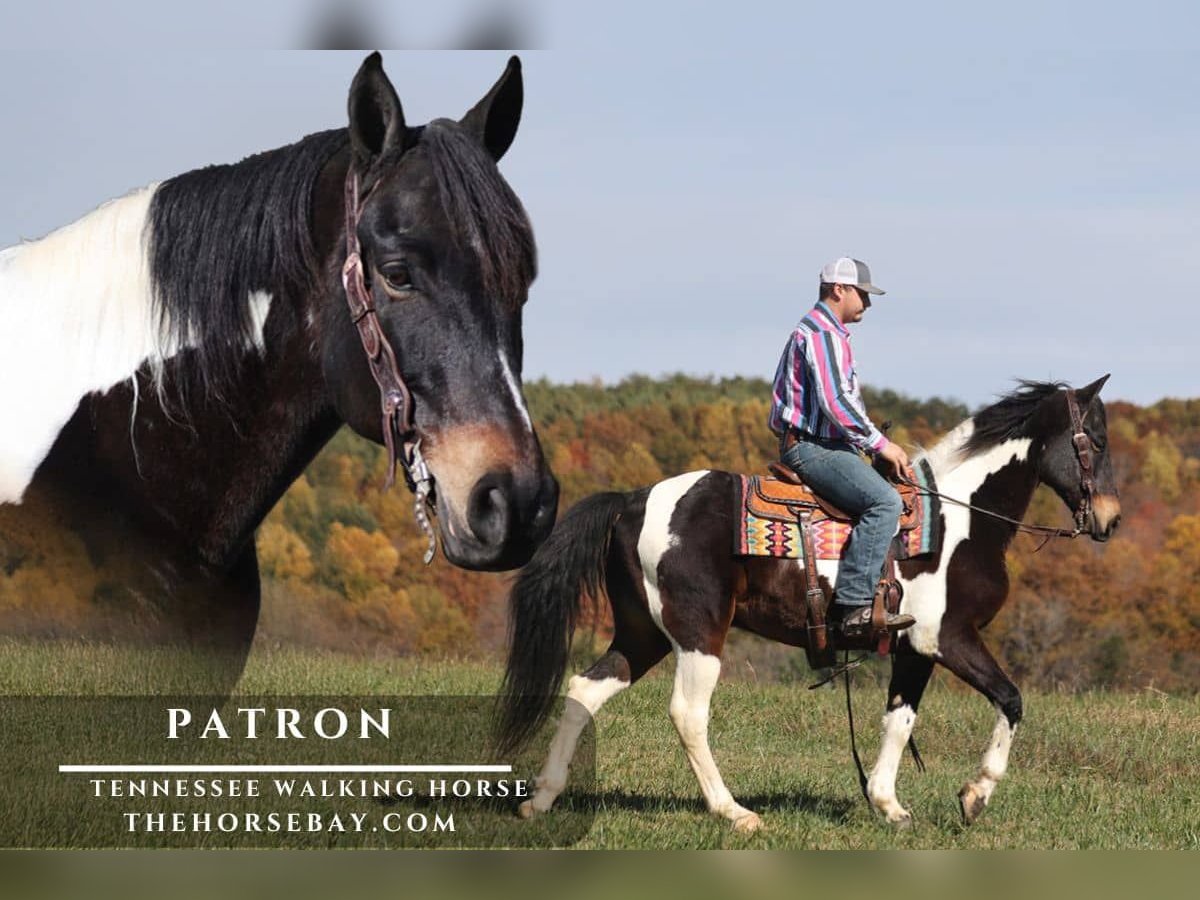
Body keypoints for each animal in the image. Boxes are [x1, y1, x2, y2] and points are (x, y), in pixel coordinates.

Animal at [497, 377, 1121, 832]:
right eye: (1096, 440)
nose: (1111, 520)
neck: (958, 518)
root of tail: (633, 499)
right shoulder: (947, 638)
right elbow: (1010, 700)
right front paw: (974, 795)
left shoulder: (911, 647)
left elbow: (899, 721)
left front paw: (887, 804)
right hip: (698, 634)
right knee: (687, 714)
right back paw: (734, 812)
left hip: (641, 633)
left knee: (584, 691)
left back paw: (541, 800)